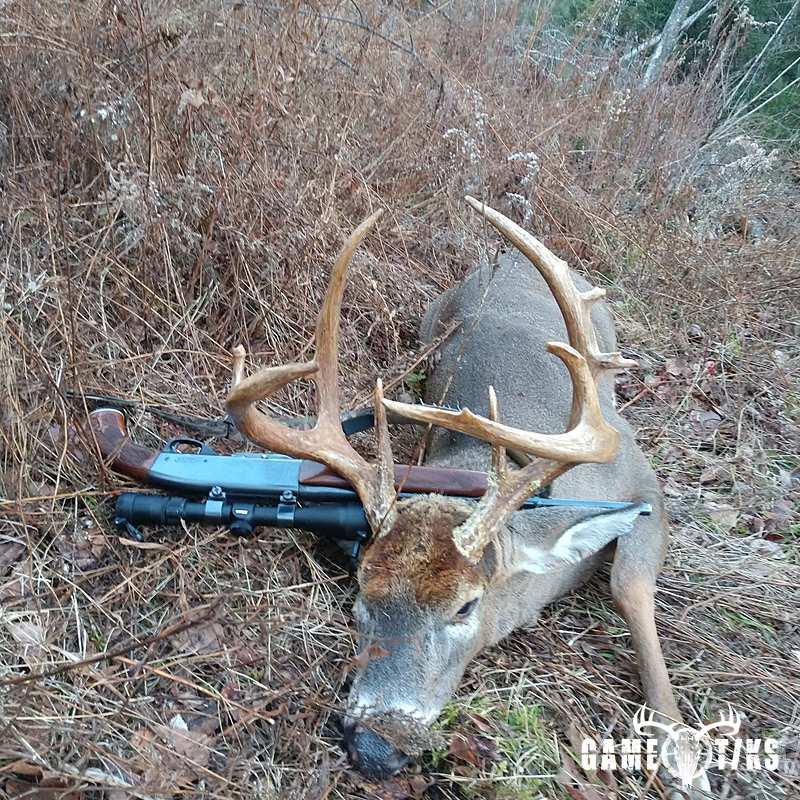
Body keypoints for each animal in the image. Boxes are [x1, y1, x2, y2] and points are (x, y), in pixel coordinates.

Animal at [226, 198, 709, 797]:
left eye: (466, 605)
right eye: (362, 592)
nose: (374, 746)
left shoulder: (642, 478)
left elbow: (629, 583)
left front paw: (680, 752)